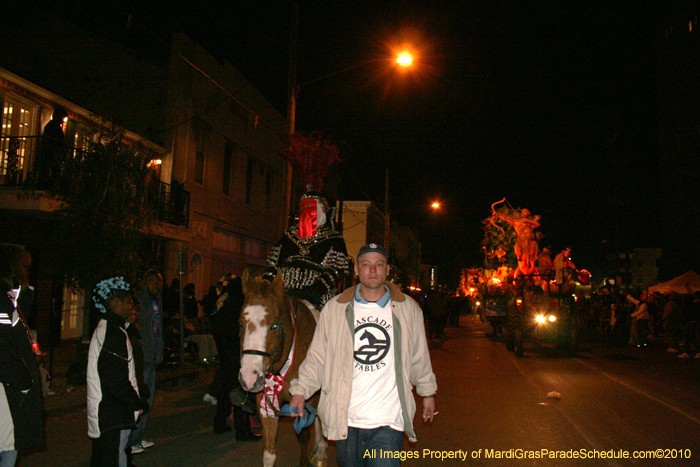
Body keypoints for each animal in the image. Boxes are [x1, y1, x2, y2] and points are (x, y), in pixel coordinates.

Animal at [238, 270, 328, 467]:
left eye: (274, 325)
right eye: (240, 324)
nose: (249, 378)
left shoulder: (307, 400)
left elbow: (304, 434)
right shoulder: (266, 402)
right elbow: (269, 452)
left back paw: (320, 451)